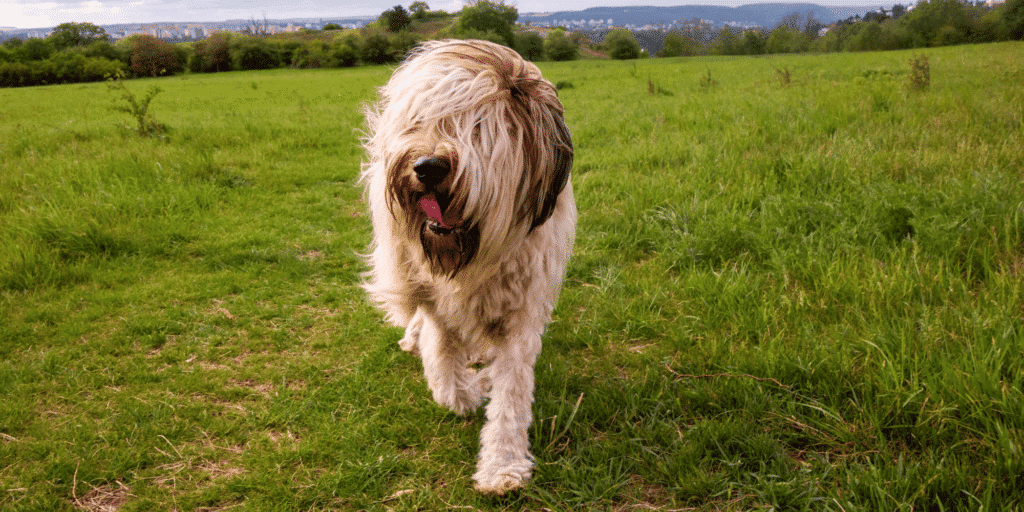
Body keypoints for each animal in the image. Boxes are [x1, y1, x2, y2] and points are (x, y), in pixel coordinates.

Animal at [360, 37, 577, 493]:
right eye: (419, 121)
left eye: (479, 127)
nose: (428, 166)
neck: (471, 252)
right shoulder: (435, 298)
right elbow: (444, 363)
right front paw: (468, 389)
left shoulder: (523, 312)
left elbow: (511, 391)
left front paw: (502, 465)